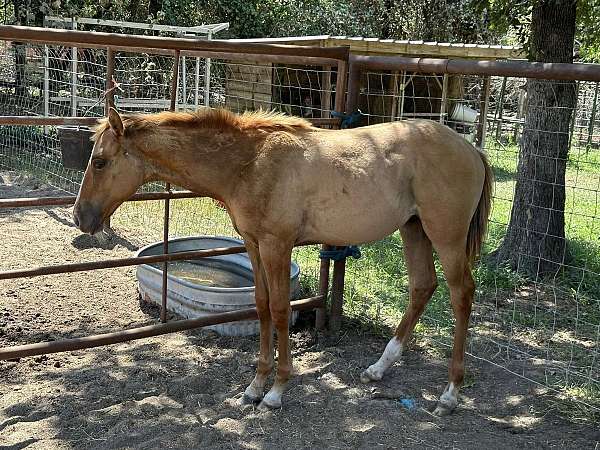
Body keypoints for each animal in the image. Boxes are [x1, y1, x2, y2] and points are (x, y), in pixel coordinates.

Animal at [74, 106, 492, 414]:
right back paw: (378, 369)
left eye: (100, 161)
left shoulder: (277, 245)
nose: (81, 216)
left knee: (461, 294)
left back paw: (450, 393)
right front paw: (255, 385)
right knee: (423, 286)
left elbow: (278, 309)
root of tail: (472, 150)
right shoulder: (254, 244)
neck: (250, 162)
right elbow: (260, 307)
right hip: (413, 229)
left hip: (445, 235)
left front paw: (276, 390)